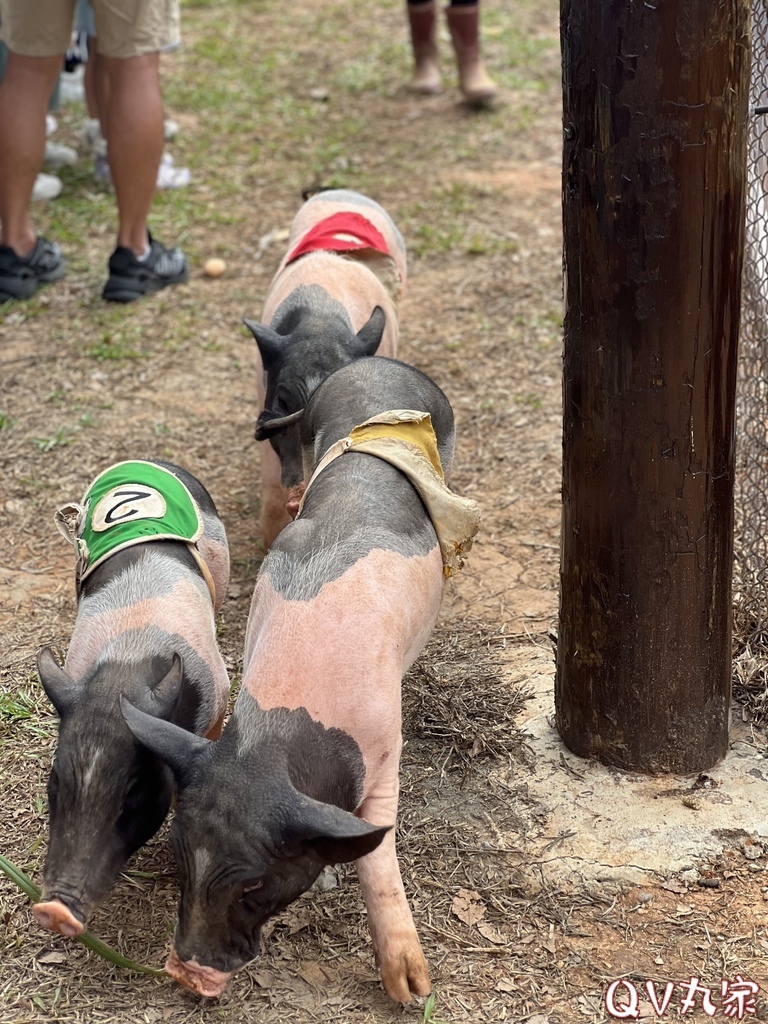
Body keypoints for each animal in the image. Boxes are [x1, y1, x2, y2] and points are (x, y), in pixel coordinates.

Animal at [33, 460, 231, 937]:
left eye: (133, 793)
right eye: (55, 782)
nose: (53, 911)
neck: (126, 666)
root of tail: (149, 462)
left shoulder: (219, 695)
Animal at [120, 358, 481, 999]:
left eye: (255, 886)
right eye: (182, 858)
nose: (187, 973)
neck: (285, 725)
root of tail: (372, 366)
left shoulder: (383, 744)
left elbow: (377, 852)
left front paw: (412, 991)